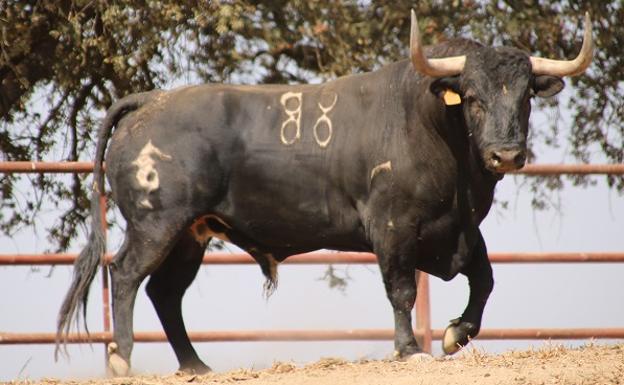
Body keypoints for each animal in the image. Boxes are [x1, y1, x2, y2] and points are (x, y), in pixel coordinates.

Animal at [56, 11, 592, 372]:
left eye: (525, 97)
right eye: (474, 97)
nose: (506, 155)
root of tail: (152, 100)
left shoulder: (462, 231)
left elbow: (484, 280)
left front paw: (455, 334)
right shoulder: (393, 227)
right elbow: (401, 290)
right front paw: (409, 349)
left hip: (192, 232)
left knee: (165, 293)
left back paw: (196, 366)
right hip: (156, 223)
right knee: (126, 275)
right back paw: (123, 359)